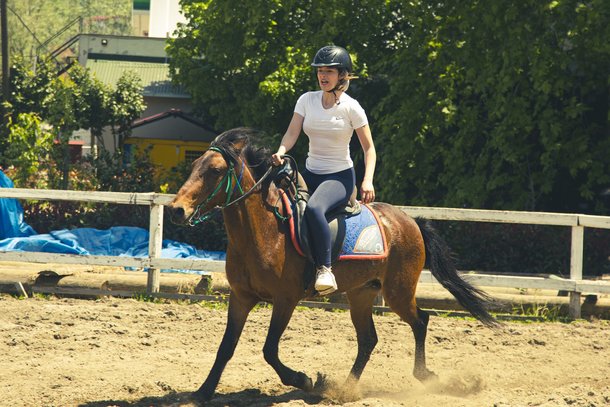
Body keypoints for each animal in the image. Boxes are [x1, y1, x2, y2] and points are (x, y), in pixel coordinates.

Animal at [167, 127, 494, 402]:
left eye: (215, 170)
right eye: (194, 167)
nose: (176, 210)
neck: (264, 231)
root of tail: (410, 221)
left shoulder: (285, 299)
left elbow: (269, 349)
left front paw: (304, 380)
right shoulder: (241, 297)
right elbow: (226, 348)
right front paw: (203, 392)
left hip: (398, 292)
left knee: (421, 321)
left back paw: (421, 376)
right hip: (361, 293)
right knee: (368, 340)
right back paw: (344, 389)